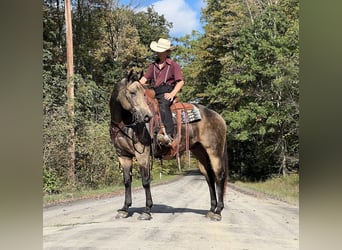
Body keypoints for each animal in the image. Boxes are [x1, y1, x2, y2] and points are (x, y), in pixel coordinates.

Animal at [109, 72, 227, 221]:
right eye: (132, 92)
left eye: (143, 94)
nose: (147, 116)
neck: (126, 124)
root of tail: (219, 117)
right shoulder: (123, 155)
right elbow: (127, 181)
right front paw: (124, 209)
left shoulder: (142, 154)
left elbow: (145, 181)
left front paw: (147, 211)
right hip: (200, 152)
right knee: (209, 178)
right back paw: (211, 210)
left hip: (214, 152)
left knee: (219, 176)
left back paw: (218, 212)